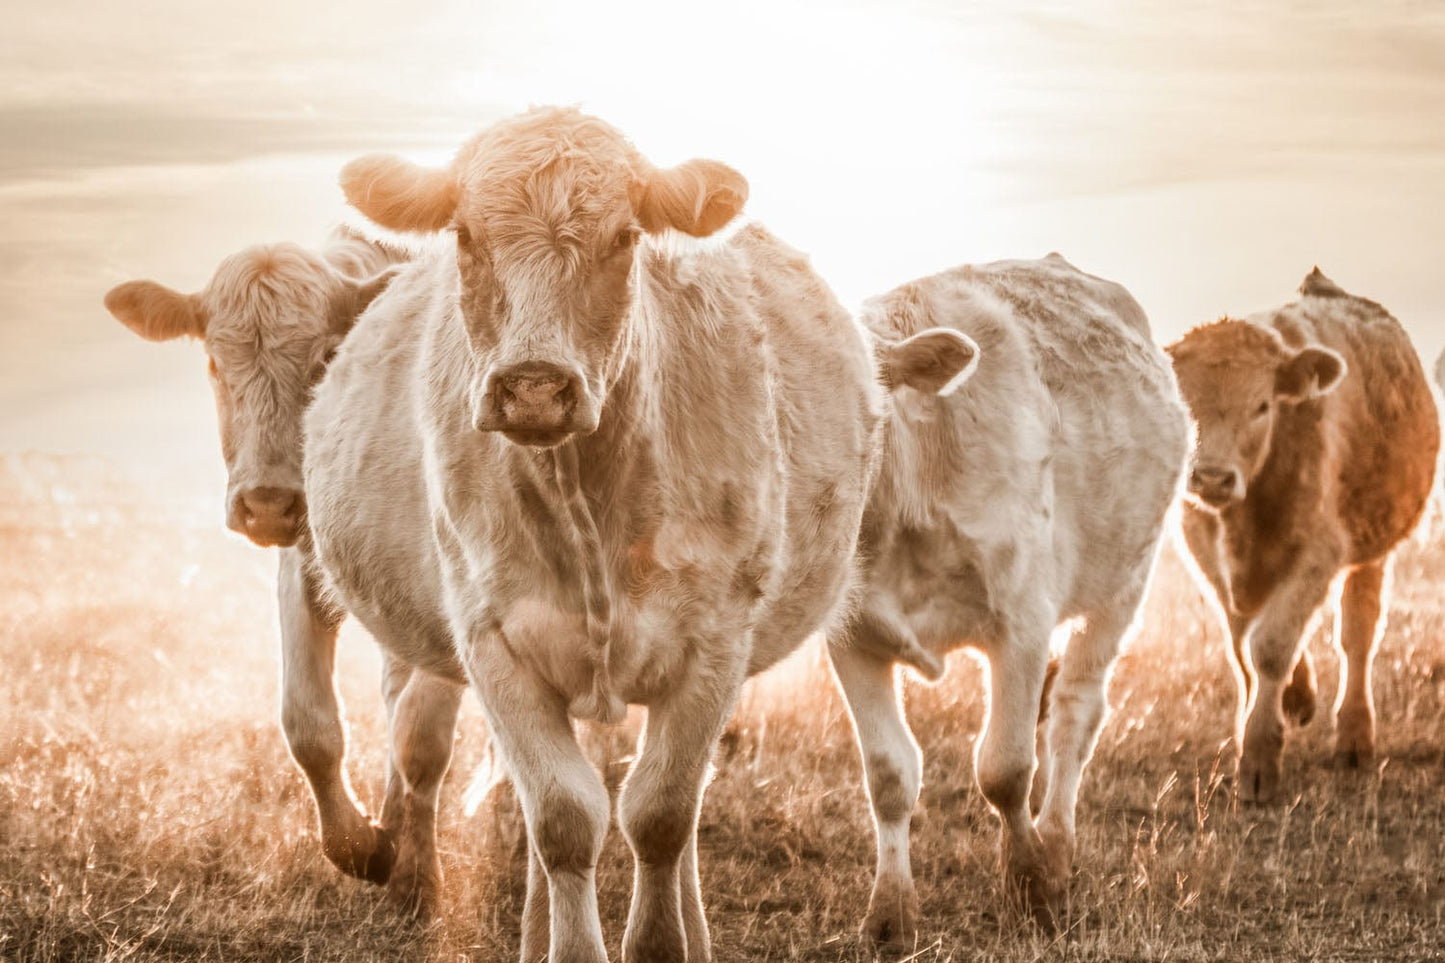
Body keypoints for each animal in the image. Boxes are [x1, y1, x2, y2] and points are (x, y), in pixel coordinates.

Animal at [101, 228, 468, 912]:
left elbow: (422, 738)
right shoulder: (301, 570)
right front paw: (363, 847)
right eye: (215, 362)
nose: (268, 502)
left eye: (327, 359)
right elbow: (309, 725)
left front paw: (416, 882)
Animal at [303, 105, 975, 962]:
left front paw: (662, 940)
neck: (583, 499)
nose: (533, 387)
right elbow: (561, 820)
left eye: (624, 237)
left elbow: (659, 814)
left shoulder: (713, 643)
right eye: (463, 233)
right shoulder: (494, 643)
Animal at [831, 254, 1189, 936]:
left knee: (1075, 712)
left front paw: (1031, 883)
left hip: (1127, 581)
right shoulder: (852, 636)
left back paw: (1058, 844)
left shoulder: (1022, 620)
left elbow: (1006, 768)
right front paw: (891, 911)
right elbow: (888, 774)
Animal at [1168, 268, 1439, 804]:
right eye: (1184, 407)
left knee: (1358, 637)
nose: (1212, 478)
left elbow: (1270, 646)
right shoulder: (1206, 554)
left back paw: (1354, 738)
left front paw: (1258, 759)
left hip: (1370, 547)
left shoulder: (1319, 552)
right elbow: (1242, 644)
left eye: (1262, 405)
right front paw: (1284, 701)